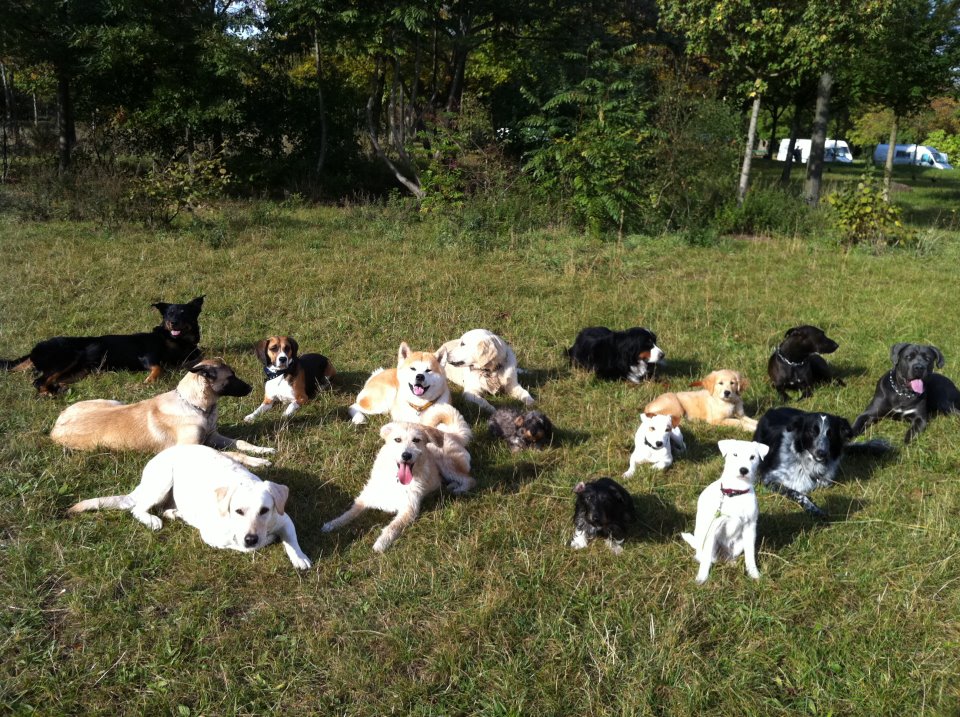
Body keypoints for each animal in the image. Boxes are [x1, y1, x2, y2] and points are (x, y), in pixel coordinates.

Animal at [1, 292, 204, 392]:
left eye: (183, 312)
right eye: (169, 313)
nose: (173, 322)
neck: (173, 339)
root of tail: (34, 349)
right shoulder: (147, 356)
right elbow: (158, 368)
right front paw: (148, 382)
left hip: (80, 370)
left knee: (52, 379)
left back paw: (60, 388)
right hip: (68, 357)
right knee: (38, 381)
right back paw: (49, 393)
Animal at [49, 358, 274, 470]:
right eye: (231, 377)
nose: (251, 387)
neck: (195, 405)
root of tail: (54, 427)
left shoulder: (212, 435)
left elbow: (241, 443)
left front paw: (262, 450)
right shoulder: (191, 447)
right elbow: (232, 454)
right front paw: (257, 461)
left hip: (112, 402)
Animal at [69, 444, 314, 568]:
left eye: (264, 511)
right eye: (238, 511)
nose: (251, 538)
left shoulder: (284, 518)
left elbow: (292, 540)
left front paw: (298, 556)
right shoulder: (212, 537)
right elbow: (243, 547)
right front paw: (266, 541)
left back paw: (175, 513)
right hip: (163, 481)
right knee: (137, 508)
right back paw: (152, 520)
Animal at [322, 402, 472, 552]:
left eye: (416, 440)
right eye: (397, 440)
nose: (406, 455)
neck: (396, 481)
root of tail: (452, 434)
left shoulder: (409, 509)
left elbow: (393, 527)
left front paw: (381, 543)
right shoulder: (365, 498)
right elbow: (349, 513)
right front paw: (332, 524)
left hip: (446, 462)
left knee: (469, 479)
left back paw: (459, 489)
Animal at [680, 440, 768, 584]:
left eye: (752, 457)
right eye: (735, 454)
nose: (743, 470)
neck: (736, 492)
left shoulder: (750, 528)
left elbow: (750, 555)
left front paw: (754, 574)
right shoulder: (713, 528)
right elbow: (706, 560)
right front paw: (702, 577)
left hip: (739, 544)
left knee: (729, 556)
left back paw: (731, 563)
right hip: (707, 542)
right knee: (705, 556)